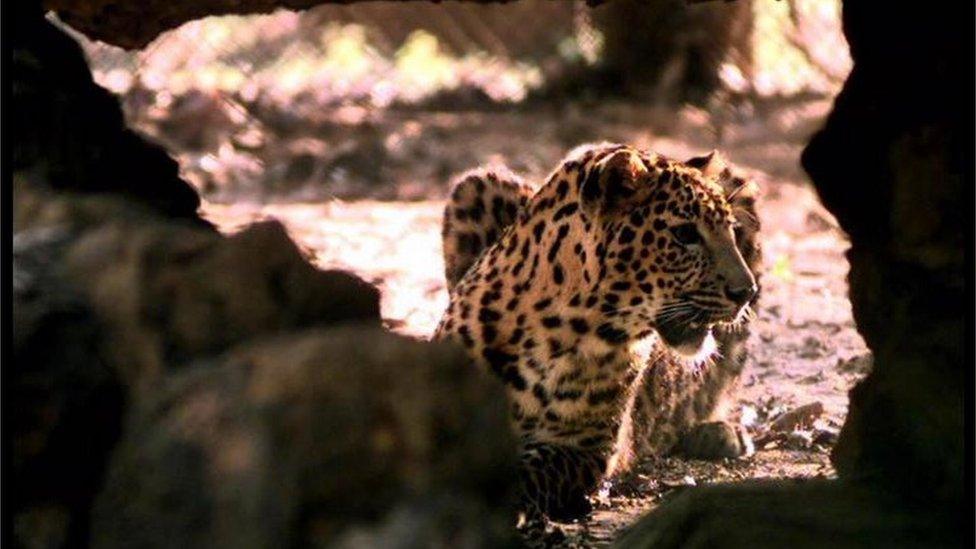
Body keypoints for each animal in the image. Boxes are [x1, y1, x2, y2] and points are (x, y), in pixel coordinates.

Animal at [432, 142, 764, 528]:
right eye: (685, 235)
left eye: (731, 231)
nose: (746, 293)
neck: (560, 327)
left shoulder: (586, 447)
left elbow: (528, 470)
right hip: (477, 183)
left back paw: (721, 434)